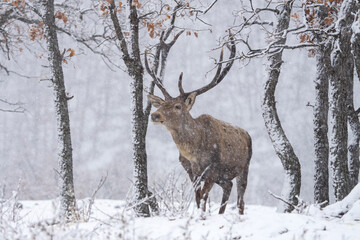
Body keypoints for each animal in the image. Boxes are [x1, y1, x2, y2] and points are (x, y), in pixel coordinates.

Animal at [145, 41, 252, 216]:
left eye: (178, 106)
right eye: (162, 104)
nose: (155, 115)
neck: (195, 153)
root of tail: (247, 133)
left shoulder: (213, 168)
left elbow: (203, 196)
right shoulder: (191, 171)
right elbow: (197, 197)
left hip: (244, 167)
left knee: (241, 198)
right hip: (223, 176)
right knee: (228, 187)